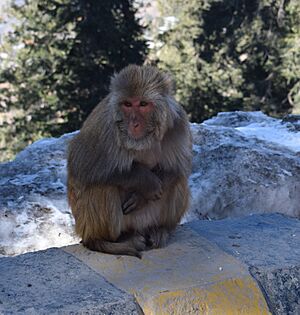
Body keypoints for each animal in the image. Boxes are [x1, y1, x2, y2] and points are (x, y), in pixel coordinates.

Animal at [67, 65, 192, 260]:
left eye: (143, 104)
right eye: (127, 104)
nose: (133, 123)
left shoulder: (178, 123)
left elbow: (177, 168)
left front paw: (141, 197)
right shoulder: (104, 127)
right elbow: (81, 166)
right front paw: (147, 182)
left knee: (179, 179)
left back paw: (159, 230)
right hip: (89, 223)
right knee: (103, 186)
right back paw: (109, 240)